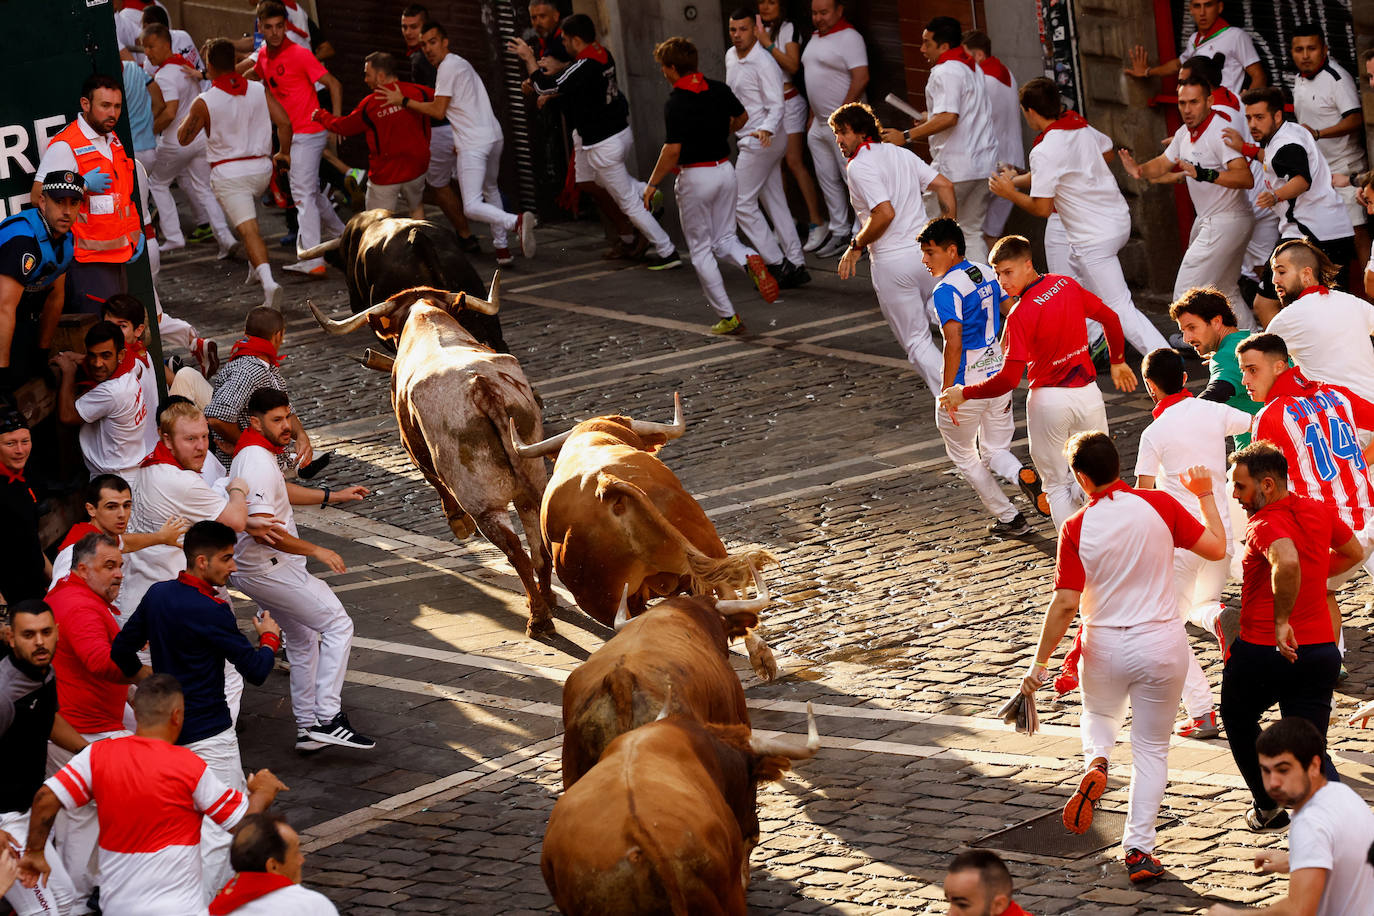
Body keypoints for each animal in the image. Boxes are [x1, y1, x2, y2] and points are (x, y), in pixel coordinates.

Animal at [311, 280, 557, 634]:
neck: (424, 316)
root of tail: (482, 387)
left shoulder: (411, 445)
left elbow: (433, 479)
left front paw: (457, 523)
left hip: (483, 501)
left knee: (516, 551)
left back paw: (538, 618)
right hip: (532, 482)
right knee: (539, 548)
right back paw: (546, 600)